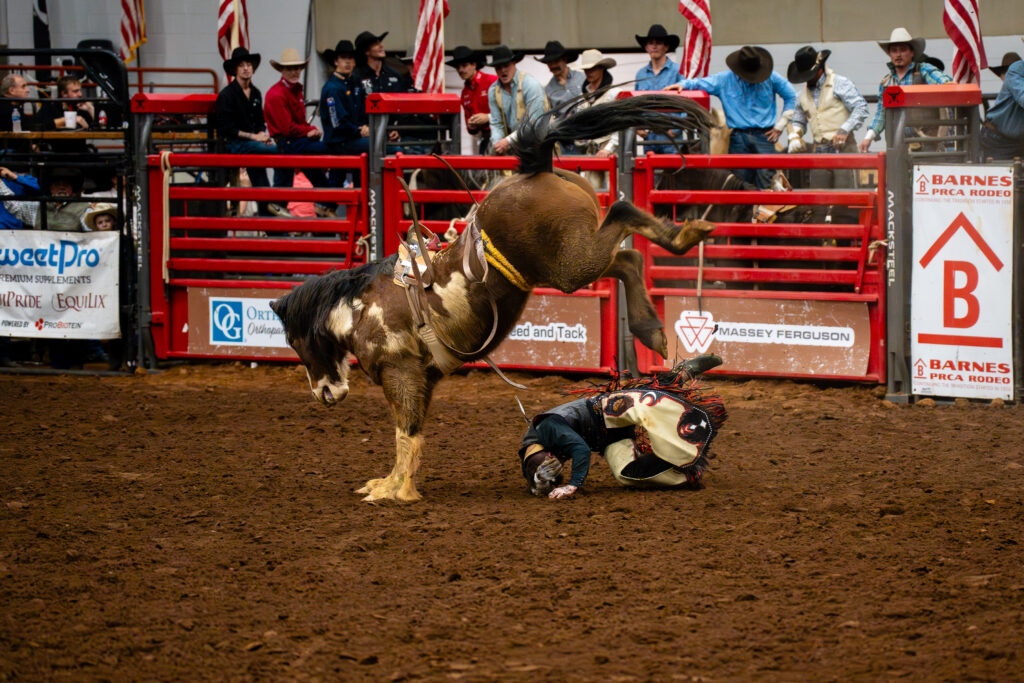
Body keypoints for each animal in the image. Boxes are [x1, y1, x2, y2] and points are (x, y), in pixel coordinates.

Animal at [270, 94, 715, 503]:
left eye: (293, 340)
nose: (323, 394)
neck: (362, 309)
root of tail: (537, 167)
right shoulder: (425, 378)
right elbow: (412, 434)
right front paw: (392, 483)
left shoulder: (402, 374)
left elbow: (404, 431)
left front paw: (393, 491)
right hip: (574, 257)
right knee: (627, 257)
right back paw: (656, 320)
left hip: (570, 265)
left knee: (622, 220)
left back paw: (680, 251)